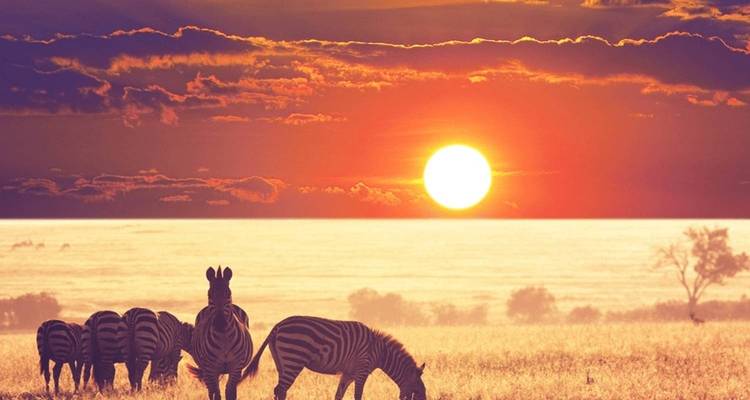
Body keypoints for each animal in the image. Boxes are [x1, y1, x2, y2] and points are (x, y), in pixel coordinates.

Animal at [188, 266, 253, 400]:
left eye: (228, 293)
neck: (224, 339)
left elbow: (230, 393)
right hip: (206, 369)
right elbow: (217, 394)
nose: (220, 323)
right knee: (211, 391)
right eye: (209, 294)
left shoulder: (236, 367)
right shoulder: (211, 368)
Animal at [242, 316, 427, 400]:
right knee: (280, 389)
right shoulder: (362, 370)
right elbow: (358, 395)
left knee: (279, 390)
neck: (379, 352)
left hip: (282, 362)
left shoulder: (348, 373)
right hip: (294, 359)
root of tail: (278, 325)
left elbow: (339, 395)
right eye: (418, 390)